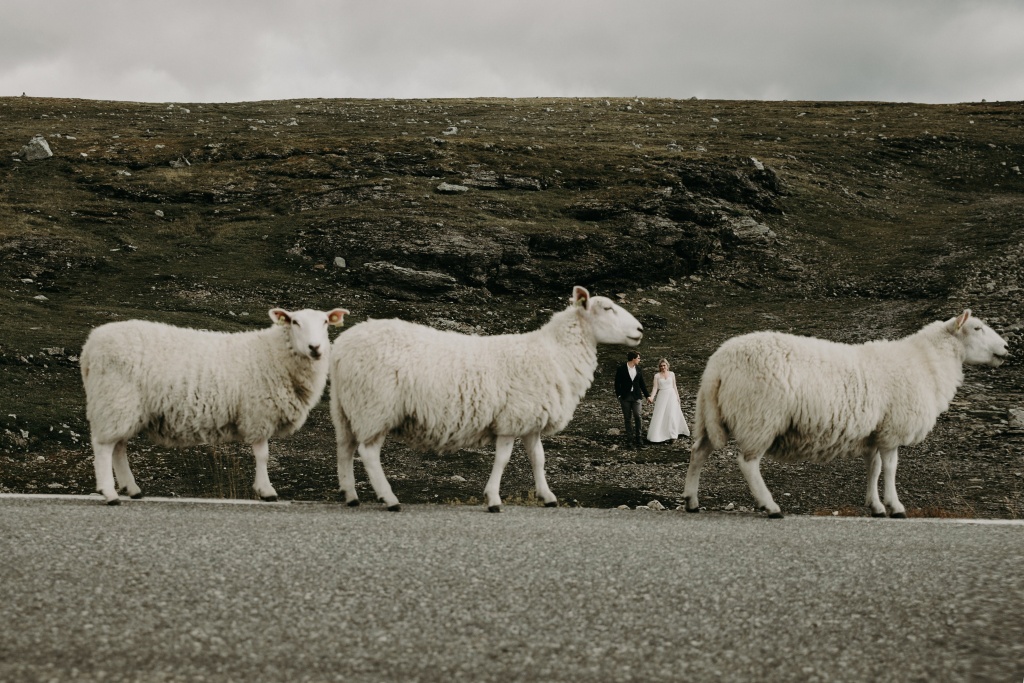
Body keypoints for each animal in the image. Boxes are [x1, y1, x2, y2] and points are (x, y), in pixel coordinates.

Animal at [80, 307, 348, 504]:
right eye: (294, 322)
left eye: (325, 322)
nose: (315, 348)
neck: (274, 353)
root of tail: (89, 346)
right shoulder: (258, 412)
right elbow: (263, 455)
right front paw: (266, 490)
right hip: (115, 397)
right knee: (104, 447)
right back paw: (109, 493)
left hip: (123, 407)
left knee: (118, 447)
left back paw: (132, 488)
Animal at [329, 286, 643, 512]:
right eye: (607, 308)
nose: (640, 330)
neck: (555, 352)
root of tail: (341, 347)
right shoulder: (511, 419)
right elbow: (503, 460)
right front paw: (493, 499)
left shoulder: (531, 420)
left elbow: (538, 459)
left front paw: (547, 496)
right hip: (375, 407)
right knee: (368, 453)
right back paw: (389, 499)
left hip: (346, 407)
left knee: (344, 448)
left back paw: (351, 496)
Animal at [683, 310, 1008, 518]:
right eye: (977, 328)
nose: (1006, 347)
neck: (926, 362)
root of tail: (717, 364)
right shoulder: (892, 429)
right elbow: (891, 468)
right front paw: (895, 506)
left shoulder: (875, 432)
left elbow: (874, 468)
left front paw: (875, 506)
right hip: (760, 416)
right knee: (748, 463)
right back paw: (770, 506)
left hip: (714, 416)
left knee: (698, 452)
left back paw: (691, 501)